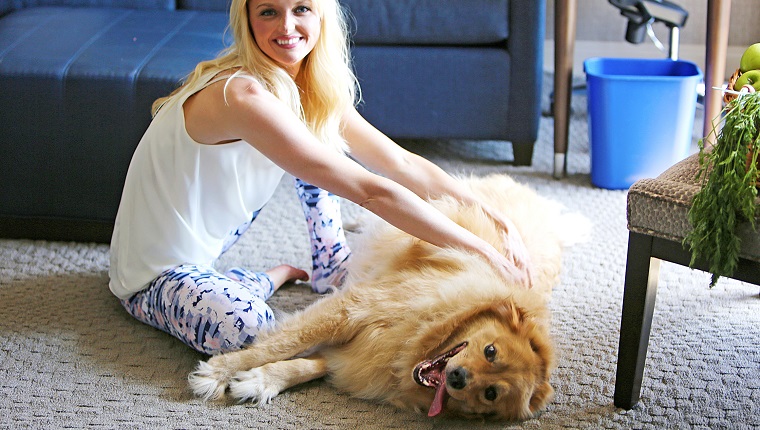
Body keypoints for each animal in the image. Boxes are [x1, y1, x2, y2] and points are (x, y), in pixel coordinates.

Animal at [189, 175, 588, 420]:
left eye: (491, 394)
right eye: (490, 351)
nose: (458, 378)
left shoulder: (362, 354)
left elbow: (306, 365)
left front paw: (261, 381)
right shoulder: (352, 310)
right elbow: (278, 345)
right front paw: (218, 371)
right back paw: (355, 223)